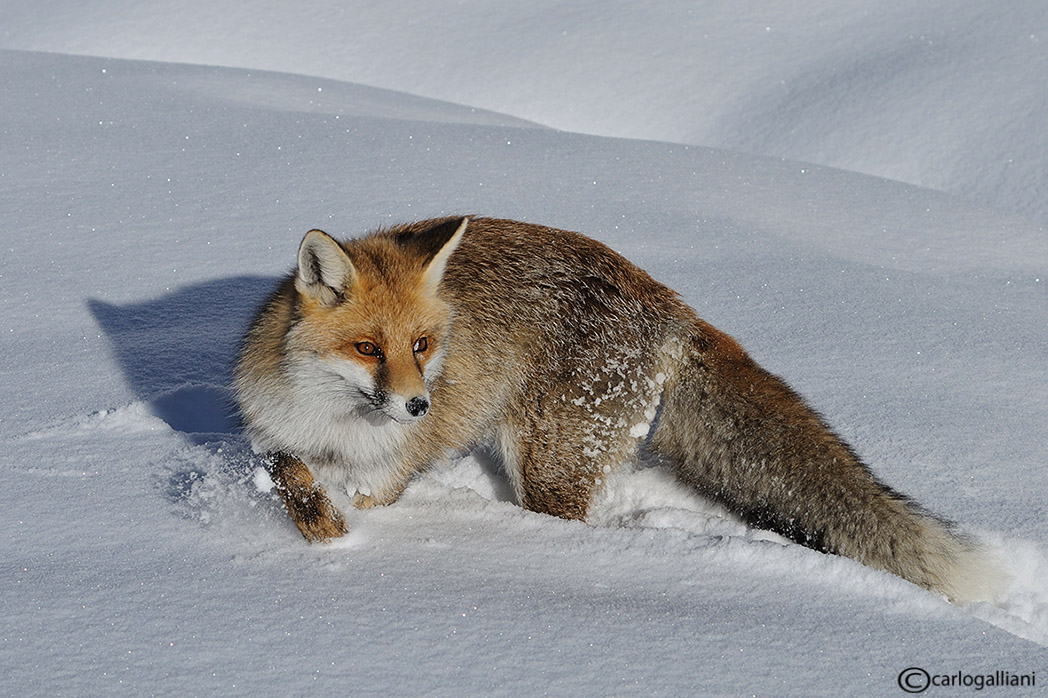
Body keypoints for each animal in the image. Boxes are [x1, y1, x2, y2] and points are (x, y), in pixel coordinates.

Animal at [235, 214, 1006, 599]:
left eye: (422, 345)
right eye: (369, 348)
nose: (421, 406)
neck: (337, 427)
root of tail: (671, 304)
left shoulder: (391, 473)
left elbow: (364, 499)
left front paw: (339, 542)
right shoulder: (274, 434)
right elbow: (289, 474)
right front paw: (318, 526)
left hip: (547, 466)